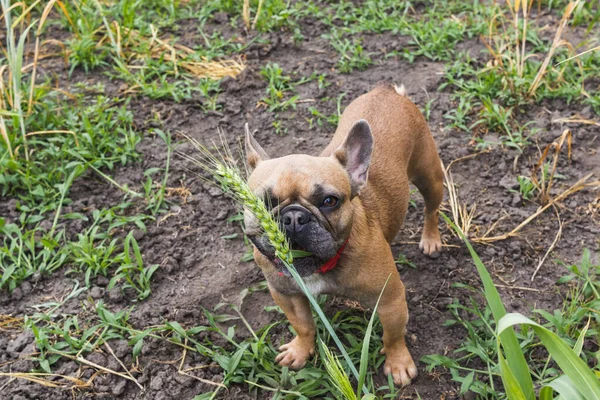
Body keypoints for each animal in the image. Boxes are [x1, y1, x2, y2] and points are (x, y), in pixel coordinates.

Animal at [241, 83, 442, 386]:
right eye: (263, 203)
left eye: (329, 201)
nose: (293, 217)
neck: (322, 266)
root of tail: (386, 90)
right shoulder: (285, 293)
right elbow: (302, 325)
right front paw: (301, 350)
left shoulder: (391, 300)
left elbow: (393, 335)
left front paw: (398, 364)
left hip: (429, 176)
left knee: (432, 209)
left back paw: (431, 239)